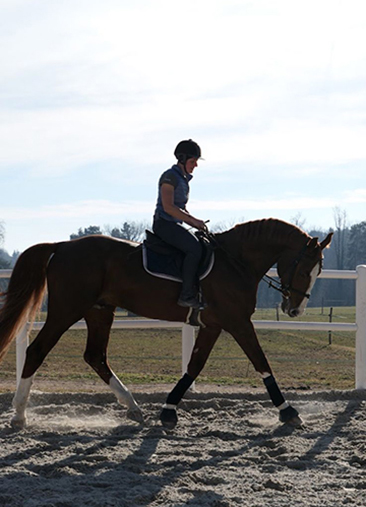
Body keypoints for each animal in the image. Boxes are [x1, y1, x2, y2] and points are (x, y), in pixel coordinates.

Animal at [0, 220, 332, 430]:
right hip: (67, 310)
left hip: (99, 311)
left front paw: (169, 412)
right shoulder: (237, 322)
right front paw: (288, 412)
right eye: (304, 269)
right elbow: (261, 362)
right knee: (36, 351)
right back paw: (19, 415)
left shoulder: (213, 325)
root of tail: (60, 246)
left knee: (96, 356)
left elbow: (194, 366)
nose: (295, 309)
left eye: (318, 271)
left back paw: (133, 407)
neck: (234, 262)